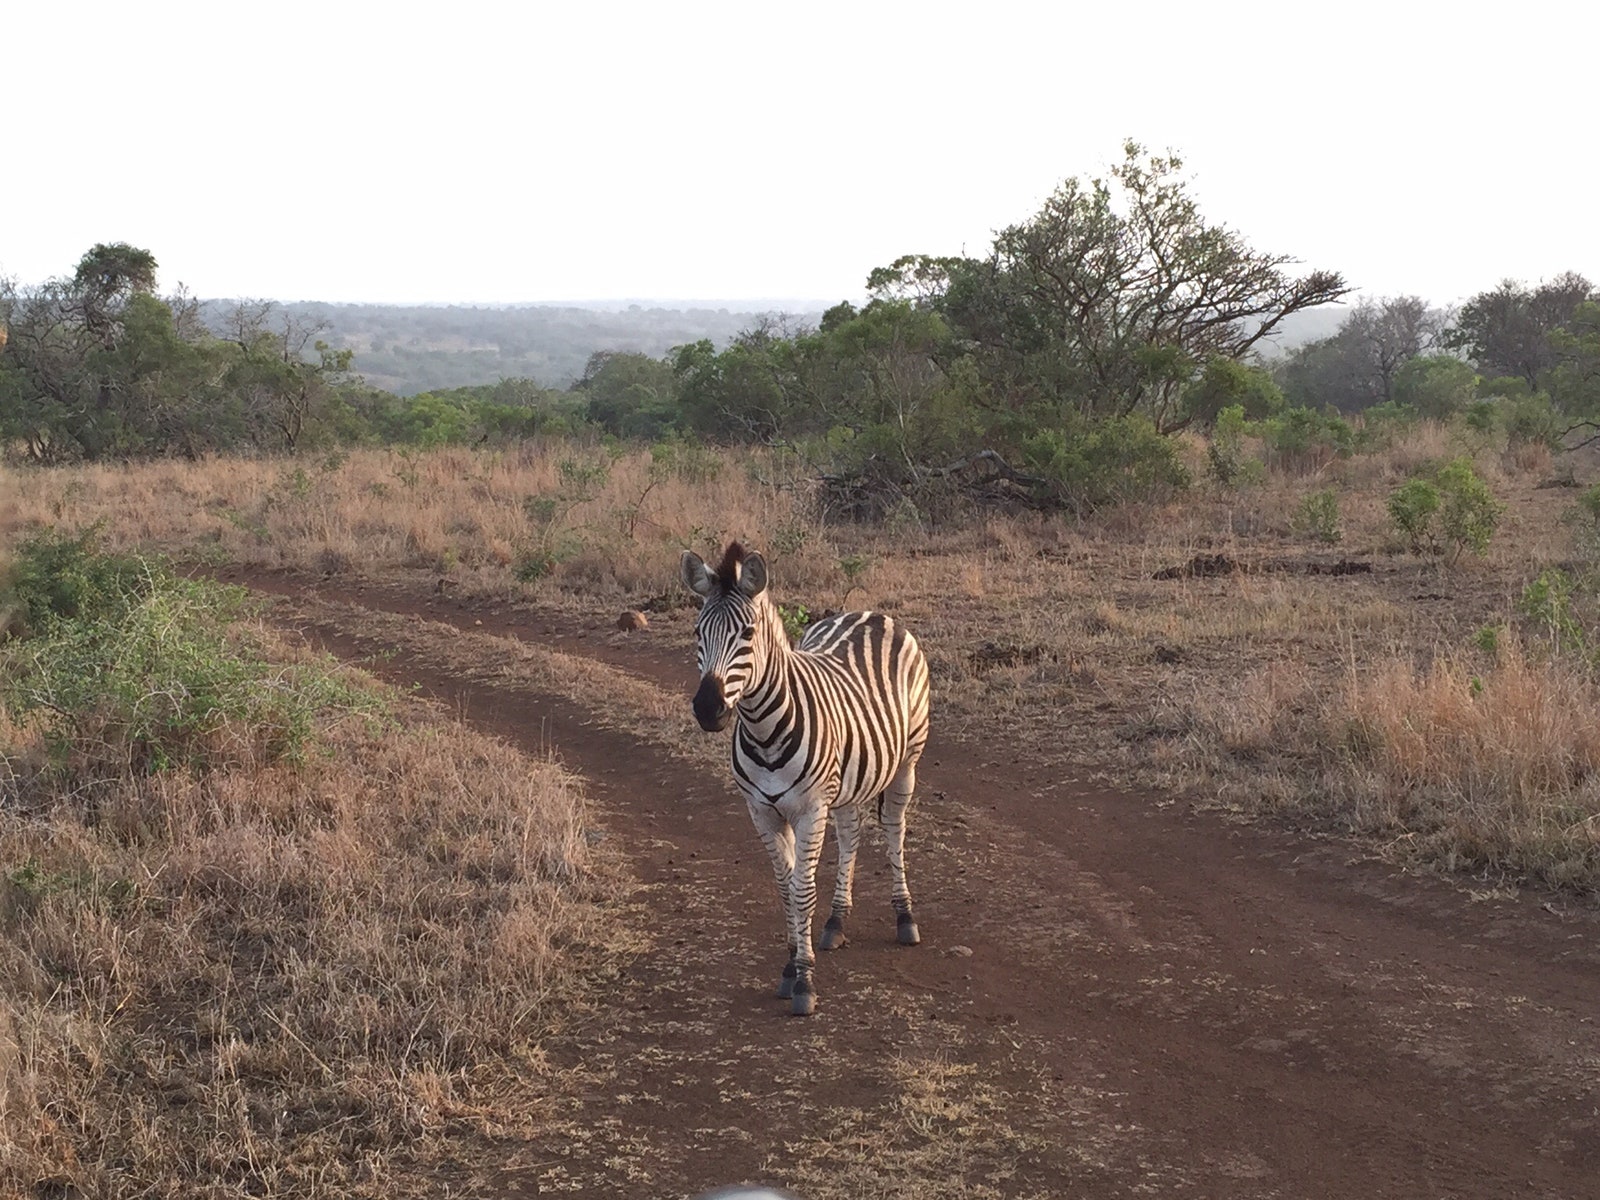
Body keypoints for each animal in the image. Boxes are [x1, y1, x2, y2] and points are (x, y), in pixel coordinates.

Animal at [681, 544, 934, 1017]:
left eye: (748, 633)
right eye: (697, 632)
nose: (708, 709)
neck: (764, 730)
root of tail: (868, 613)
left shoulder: (809, 808)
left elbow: (801, 890)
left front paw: (804, 980)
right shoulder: (761, 811)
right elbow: (785, 889)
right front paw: (789, 966)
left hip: (908, 759)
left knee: (894, 829)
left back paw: (905, 916)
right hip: (851, 776)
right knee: (851, 833)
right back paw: (836, 921)